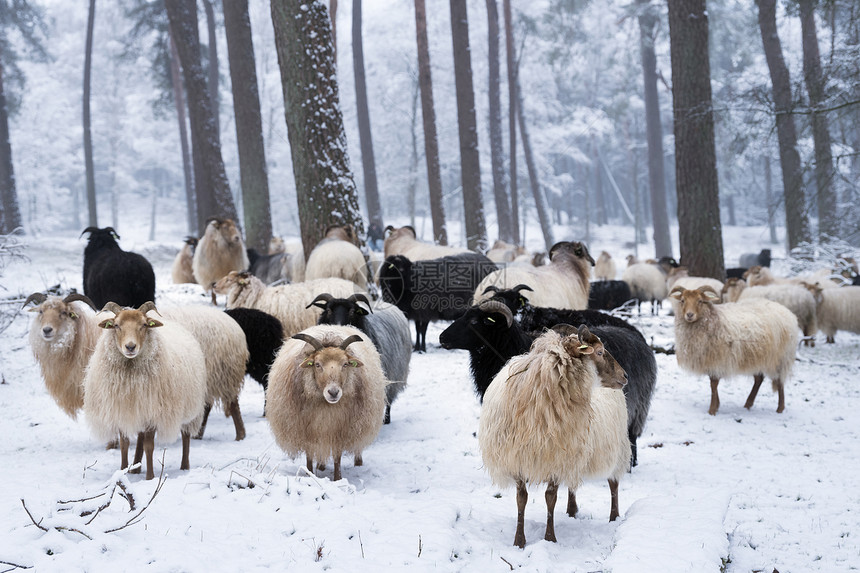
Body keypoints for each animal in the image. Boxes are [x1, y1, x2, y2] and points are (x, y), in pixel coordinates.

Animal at [159, 306, 250, 440]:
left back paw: (240, 435)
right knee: (208, 405)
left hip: (223, 375)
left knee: (232, 403)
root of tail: (236, 328)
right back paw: (198, 434)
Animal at [266, 324, 386, 480]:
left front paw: (337, 479)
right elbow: (309, 457)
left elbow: (337, 458)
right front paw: (309, 474)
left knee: (358, 447)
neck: (326, 408)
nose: (333, 392)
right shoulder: (306, 431)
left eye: (345, 364)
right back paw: (321, 466)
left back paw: (358, 463)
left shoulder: (339, 430)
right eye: (317, 364)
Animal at [668, 286, 796, 416]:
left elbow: (713, 384)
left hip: (782, 357)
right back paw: (748, 404)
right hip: (758, 357)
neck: (711, 319)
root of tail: (787, 312)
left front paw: (712, 410)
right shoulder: (711, 360)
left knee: (779, 381)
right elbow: (712, 383)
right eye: (682, 300)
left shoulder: (718, 359)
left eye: (700, 301)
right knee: (759, 379)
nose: (689, 315)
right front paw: (717, 405)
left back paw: (780, 408)